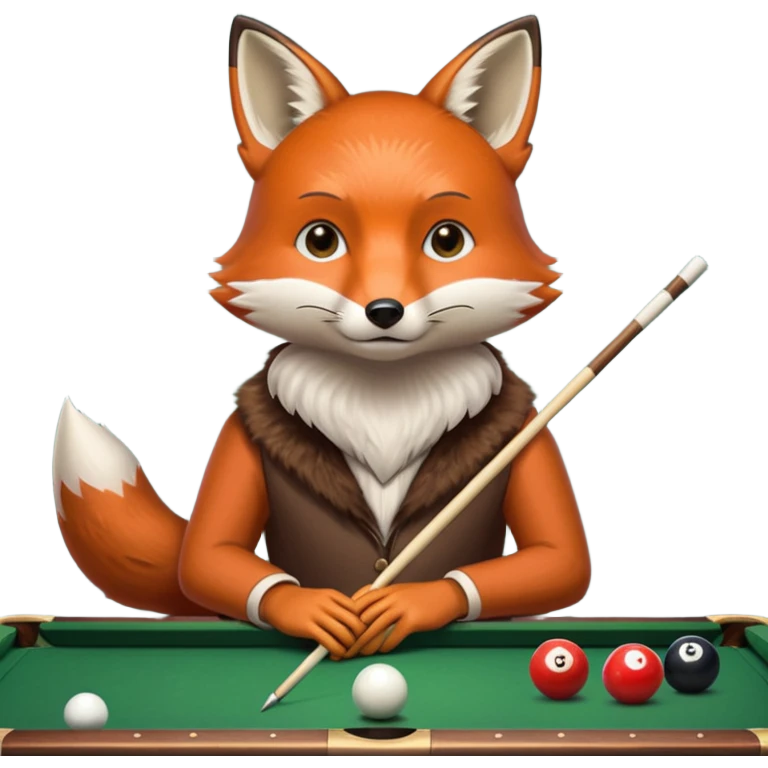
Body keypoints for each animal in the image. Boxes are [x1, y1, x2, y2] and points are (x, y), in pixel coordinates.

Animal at [52, 16, 592, 660]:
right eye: (320, 240)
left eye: (447, 241)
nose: (384, 311)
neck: (384, 399)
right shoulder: (237, 440)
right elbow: (206, 558)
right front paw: (308, 609)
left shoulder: (530, 436)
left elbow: (559, 559)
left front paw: (409, 601)